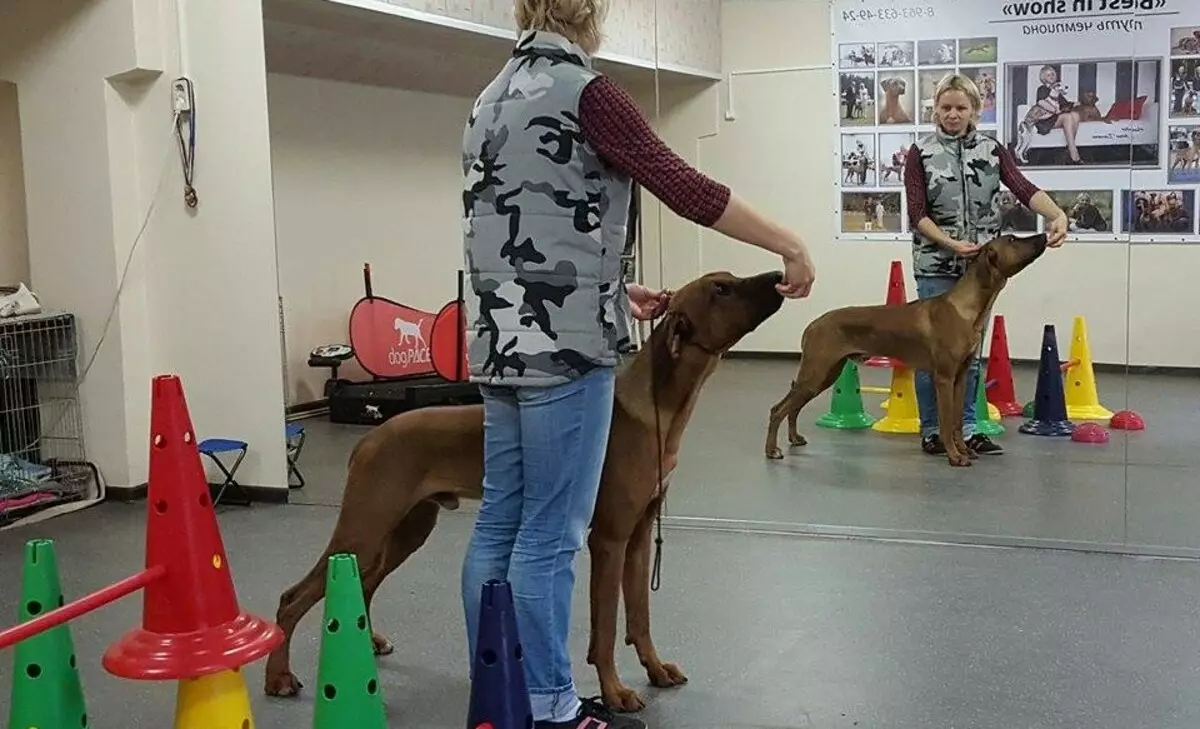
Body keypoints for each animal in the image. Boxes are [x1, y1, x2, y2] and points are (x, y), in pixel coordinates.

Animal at [264, 268, 787, 709]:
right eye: (722, 289)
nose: (779, 275)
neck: (659, 409)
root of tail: (370, 436)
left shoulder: (638, 536)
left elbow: (639, 617)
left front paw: (655, 670)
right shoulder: (609, 539)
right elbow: (605, 628)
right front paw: (615, 693)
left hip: (406, 529)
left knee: (365, 582)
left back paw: (368, 641)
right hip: (366, 524)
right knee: (293, 596)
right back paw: (279, 678)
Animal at [763, 236, 1046, 470]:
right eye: (1012, 239)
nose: (1043, 236)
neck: (966, 307)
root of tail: (813, 324)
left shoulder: (960, 376)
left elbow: (956, 421)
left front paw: (964, 451)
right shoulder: (943, 377)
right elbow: (945, 421)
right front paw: (955, 456)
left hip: (825, 375)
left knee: (793, 407)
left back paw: (794, 438)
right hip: (816, 372)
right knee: (778, 409)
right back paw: (772, 450)